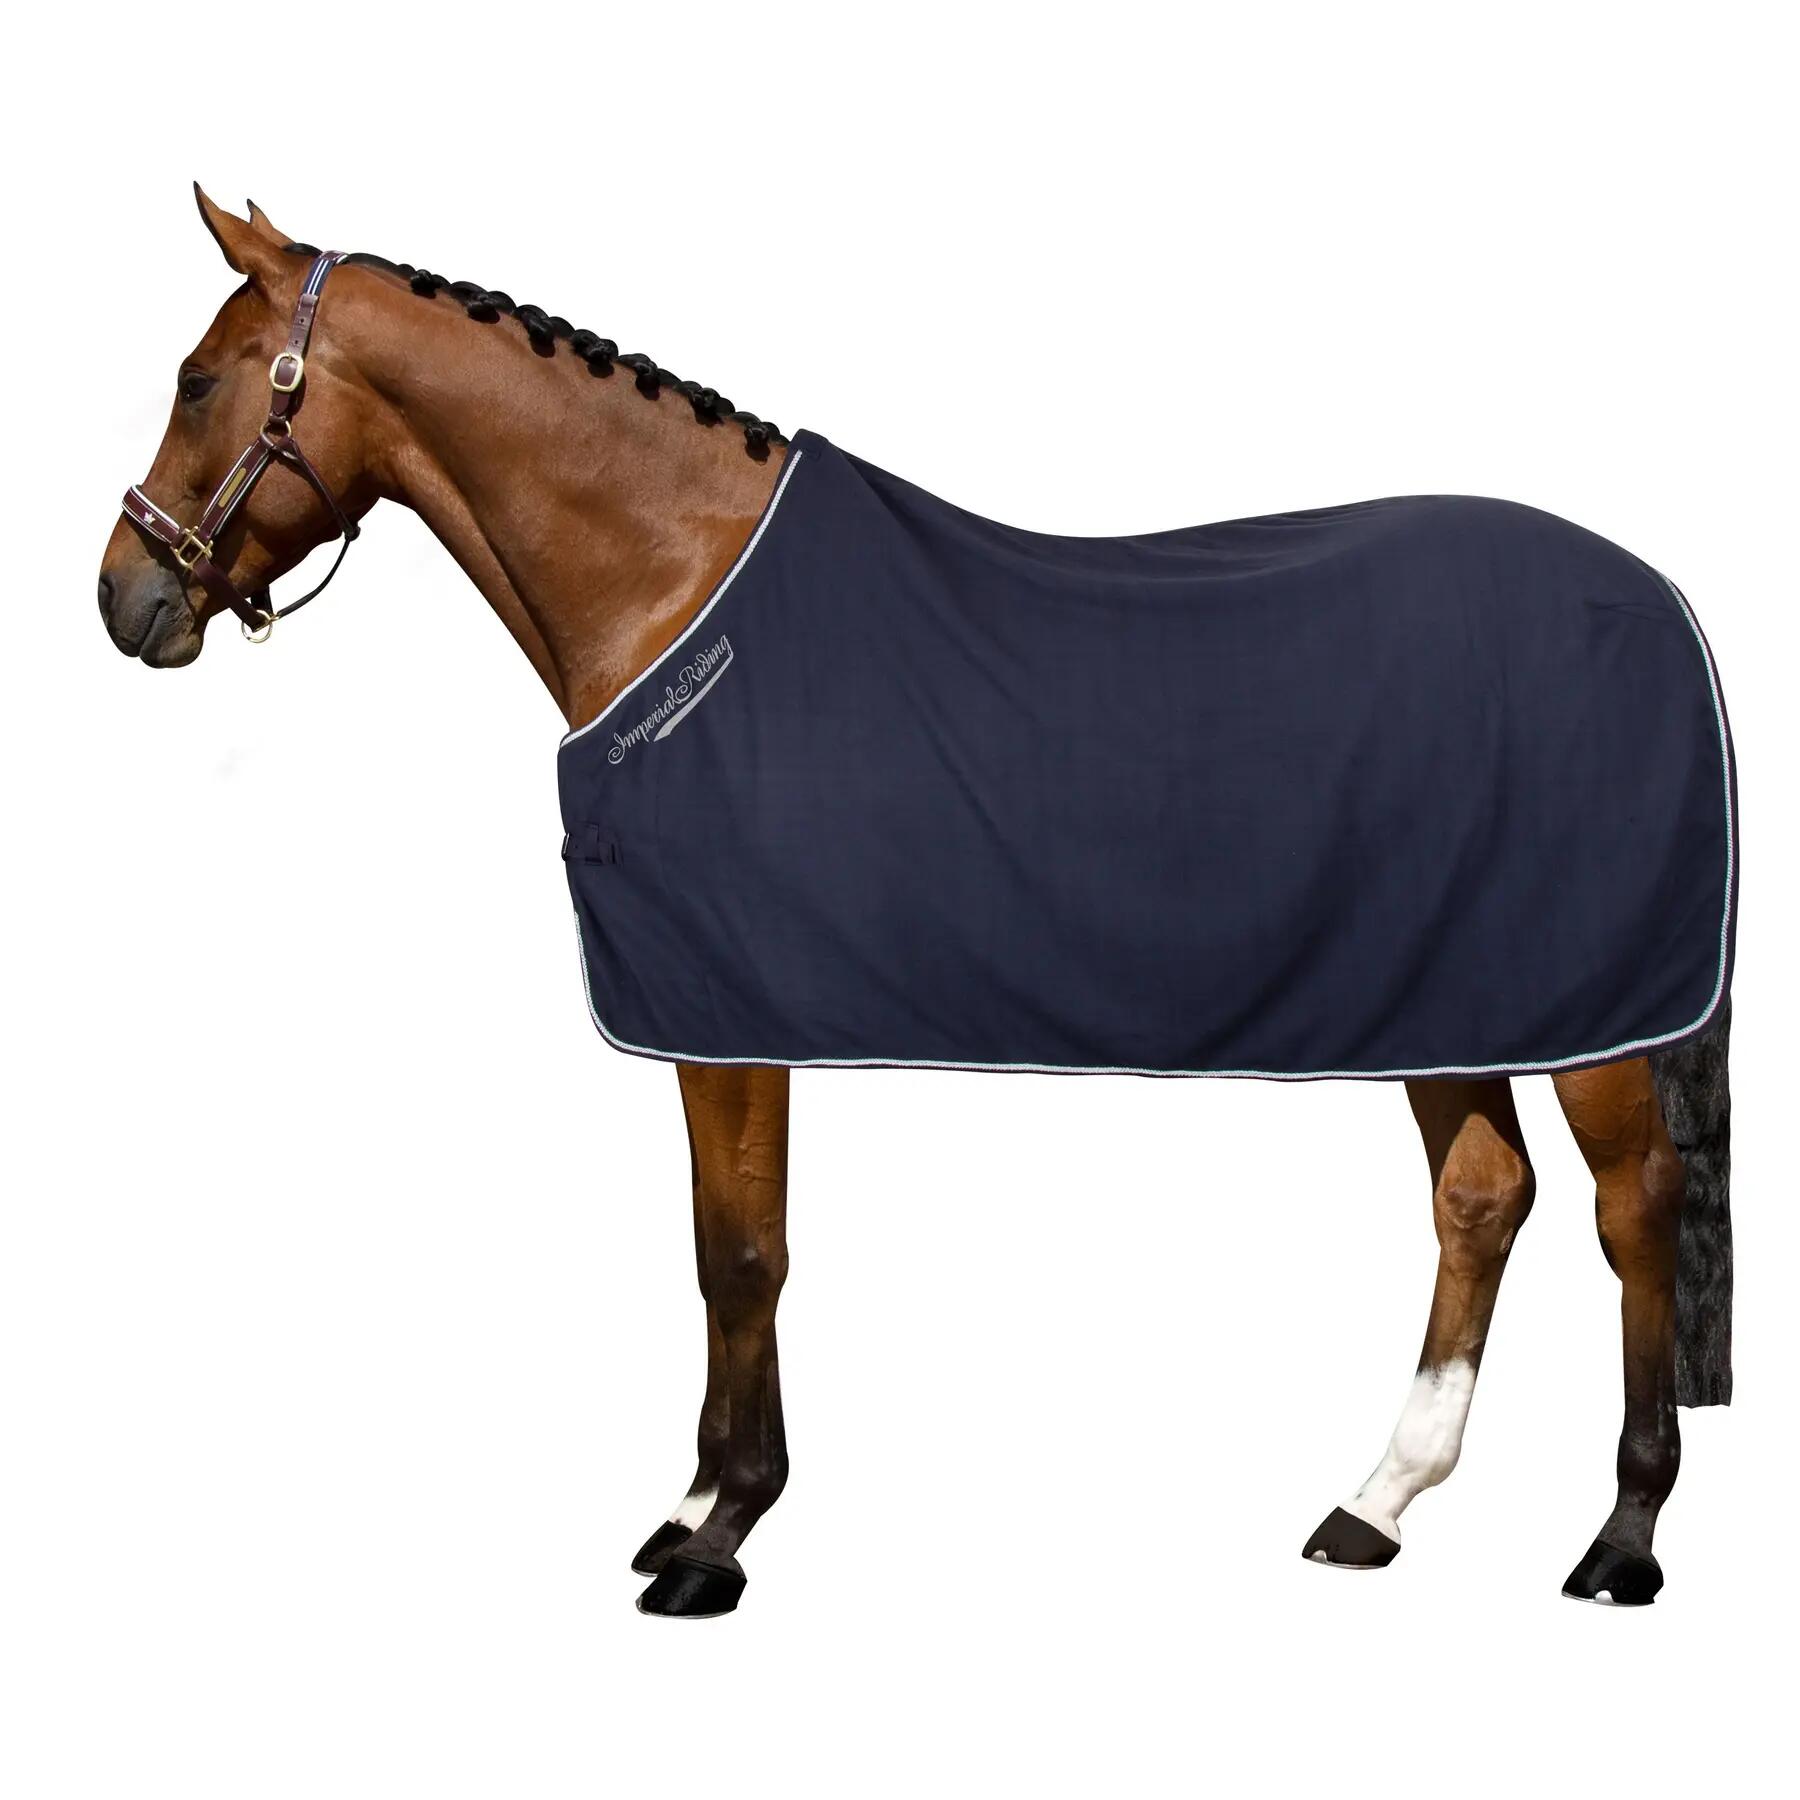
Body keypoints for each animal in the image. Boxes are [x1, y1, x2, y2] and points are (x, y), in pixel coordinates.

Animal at [97, 189, 1735, 1619]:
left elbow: (744, 1255)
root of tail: (1661, 603)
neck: (675, 589)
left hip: (1584, 1009)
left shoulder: (731, 1014)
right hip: (1446, 988)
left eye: (197, 381)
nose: (125, 598)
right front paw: (691, 1510)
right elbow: (722, 1244)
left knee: (1634, 1207)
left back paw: (1623, 1537)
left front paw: (721, 1539)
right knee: (1483, 1199)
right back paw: (1375, 1505)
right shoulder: (716, 1015)